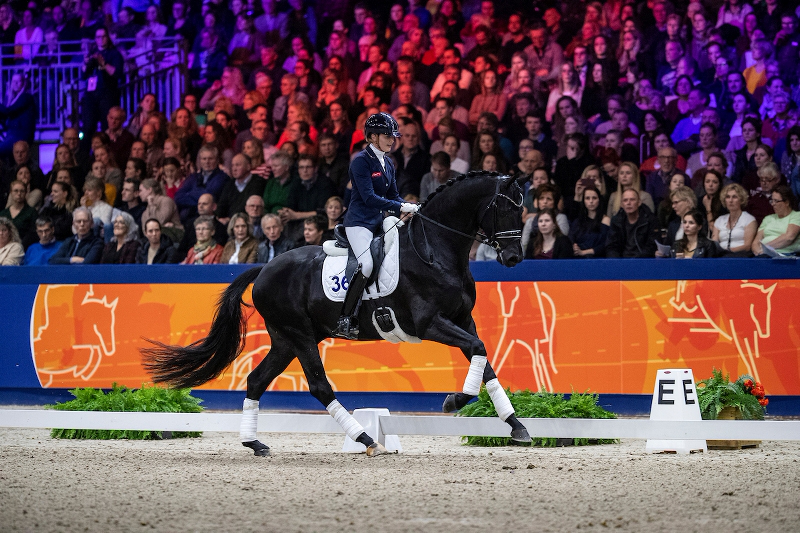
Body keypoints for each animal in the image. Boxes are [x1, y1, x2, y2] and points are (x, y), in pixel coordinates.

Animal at [142, 171, 533, 456]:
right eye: (505, 208)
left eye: (523, 210)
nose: (514, 257)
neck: (435, 249)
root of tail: (266, 268)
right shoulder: (429, 324)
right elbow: (480, 350)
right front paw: (455, 400)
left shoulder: (462, 320)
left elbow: (485, 361)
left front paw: (517, 426)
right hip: (299, 334)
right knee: (318, 385)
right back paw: (366, 439)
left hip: (286, 339)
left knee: (256, 380)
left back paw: (254, 443)